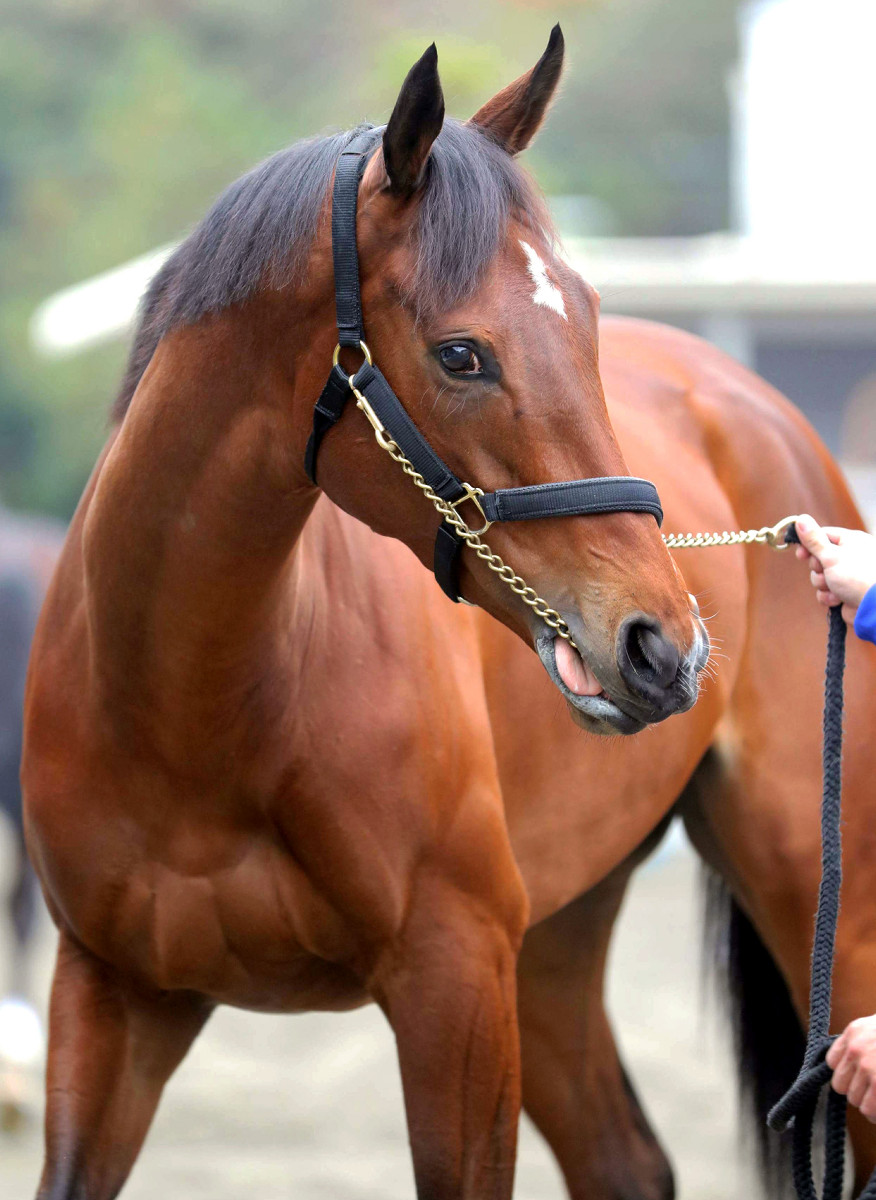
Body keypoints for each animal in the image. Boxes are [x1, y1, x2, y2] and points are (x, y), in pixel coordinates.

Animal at [21, 26, 876, 1200]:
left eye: (588, 320)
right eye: (461, 354)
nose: (665, 648)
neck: (189, 710)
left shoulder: (455, 987)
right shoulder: (111, 999)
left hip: (819, 900)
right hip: (554, 943)